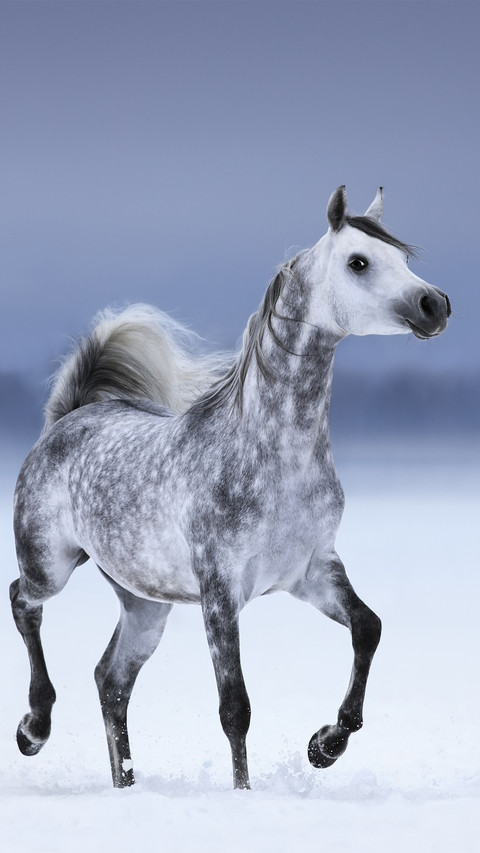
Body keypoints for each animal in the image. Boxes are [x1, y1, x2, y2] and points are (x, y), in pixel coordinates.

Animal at [10, 186, 451, 790]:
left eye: (403, 257)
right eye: (359, 262)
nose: (436, 305)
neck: (273, 458)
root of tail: (66, 419)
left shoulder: (313, 571)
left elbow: (368, 628)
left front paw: (325, 745)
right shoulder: (219, 592)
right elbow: (234, 707)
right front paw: (246, 793)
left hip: (146, 606)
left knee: (110, 680)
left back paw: (125, 784)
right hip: (51, 566)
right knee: (23, 602)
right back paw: (33, 728)